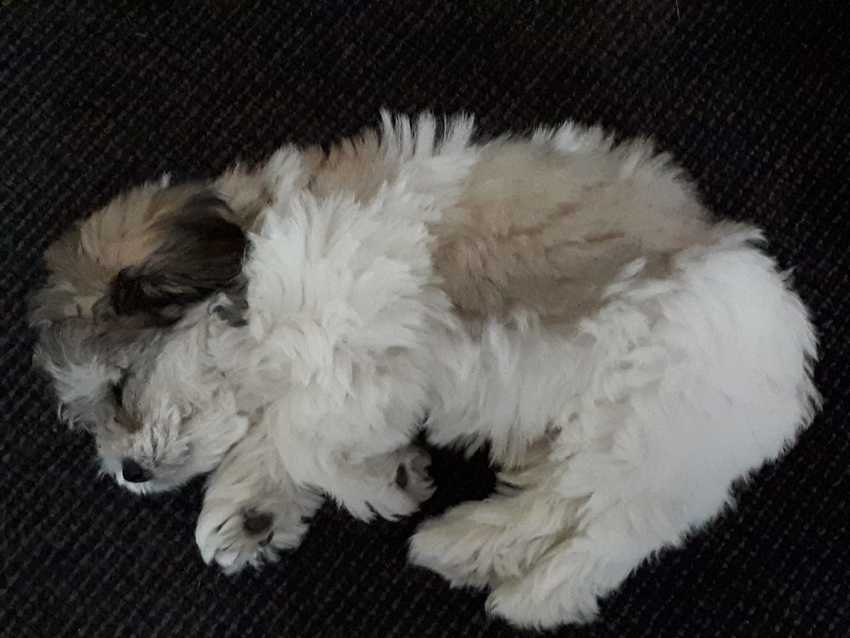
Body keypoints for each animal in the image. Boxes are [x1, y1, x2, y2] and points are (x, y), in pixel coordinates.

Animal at [30, 112, 819, 628]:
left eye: (119, 389)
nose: (128, 470)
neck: (260, 276)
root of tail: (791, 366)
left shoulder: (360, 343)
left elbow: (300, 437)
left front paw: (381, 484)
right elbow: (281, 431)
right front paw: (251, 512)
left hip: (651, 420)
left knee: (607, 532)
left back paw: (531, 595)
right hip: (621, 435)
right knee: (557, 499)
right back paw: (469, 546)